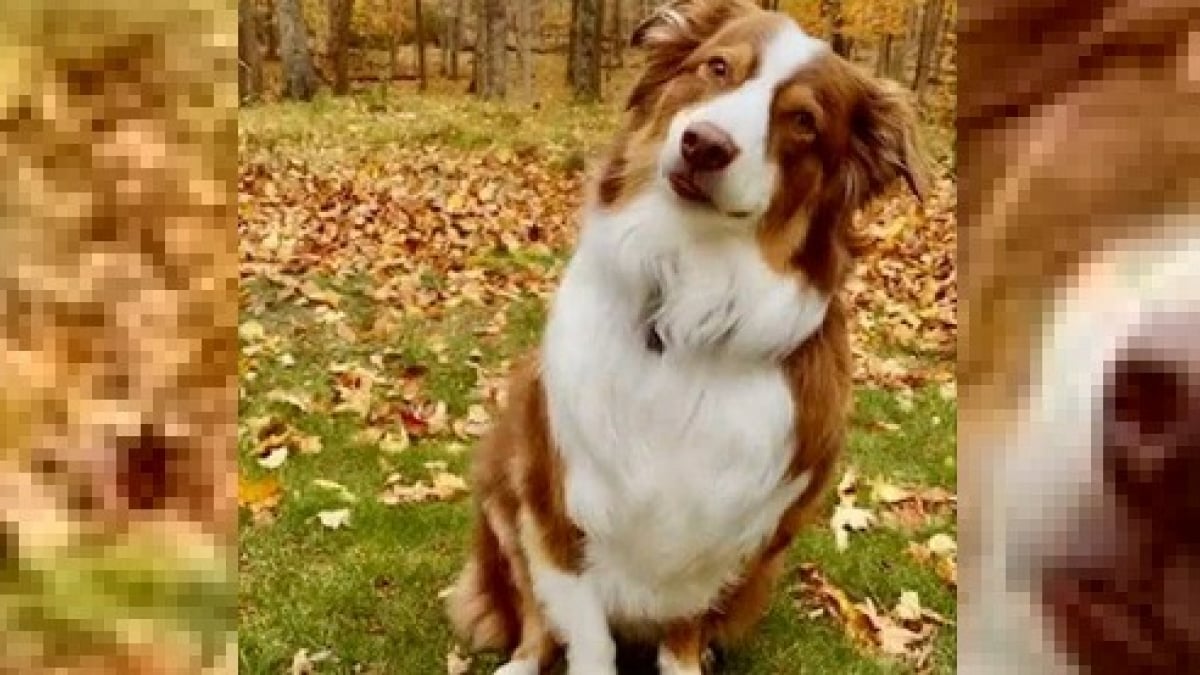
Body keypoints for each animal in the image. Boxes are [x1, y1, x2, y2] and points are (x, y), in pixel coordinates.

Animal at [446, 2, 921, 667]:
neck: (684, 310)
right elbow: (583, 635)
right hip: (501, 488)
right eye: (716, 68)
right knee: (533, 616)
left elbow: (684, 628)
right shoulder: (553, 505)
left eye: (803, 121)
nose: (705, 144)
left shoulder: (727, 537)